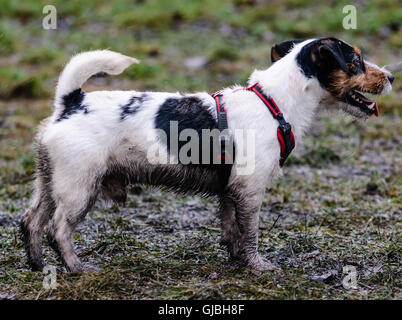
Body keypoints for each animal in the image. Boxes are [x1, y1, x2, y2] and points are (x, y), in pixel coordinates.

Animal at [20, 38, 394, 272]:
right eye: (356, 61)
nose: (391, 75)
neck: (275, 102)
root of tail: (71, 102)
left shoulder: (232, 191)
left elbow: (231, 227)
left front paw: (235, 259)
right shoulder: (250, 190)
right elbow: (250, 232)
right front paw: (257, 266)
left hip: (49, 181)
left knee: (31, 220)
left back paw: (38, 264)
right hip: (79, 187)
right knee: (58, 229)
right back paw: (76, 267)